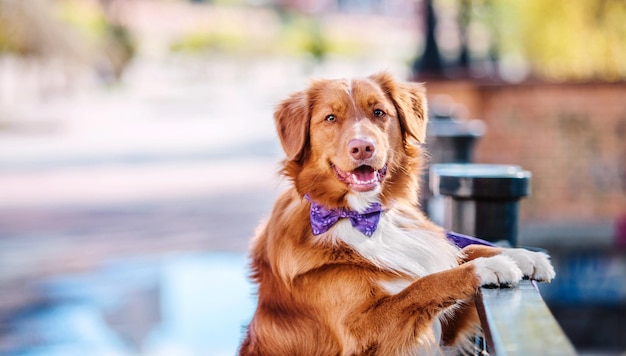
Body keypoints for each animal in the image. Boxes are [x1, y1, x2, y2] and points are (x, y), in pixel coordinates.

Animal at [238, 72, 552, 356]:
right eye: (330, 118)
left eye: (379, 112)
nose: (362, 147)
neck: (364, 215)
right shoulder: (362, 333)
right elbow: (425, 284)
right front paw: (488, 268)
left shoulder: (446, 334)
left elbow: (464, 250)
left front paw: (524, 257)